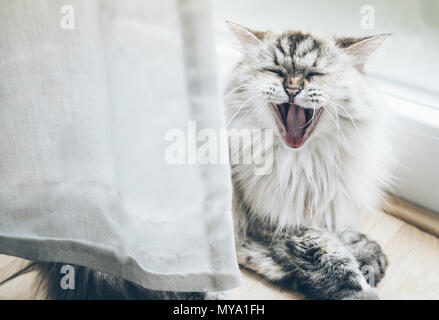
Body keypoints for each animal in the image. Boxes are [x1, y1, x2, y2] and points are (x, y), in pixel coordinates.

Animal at [225, 21, 394, 300]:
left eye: (315, 74)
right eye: (275, 71)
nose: (292, 89)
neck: (304, 166)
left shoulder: (323, 203)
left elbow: (342, 231)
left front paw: (368, 254)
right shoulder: (282, 224)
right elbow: (337, 264)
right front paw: (361, 284)